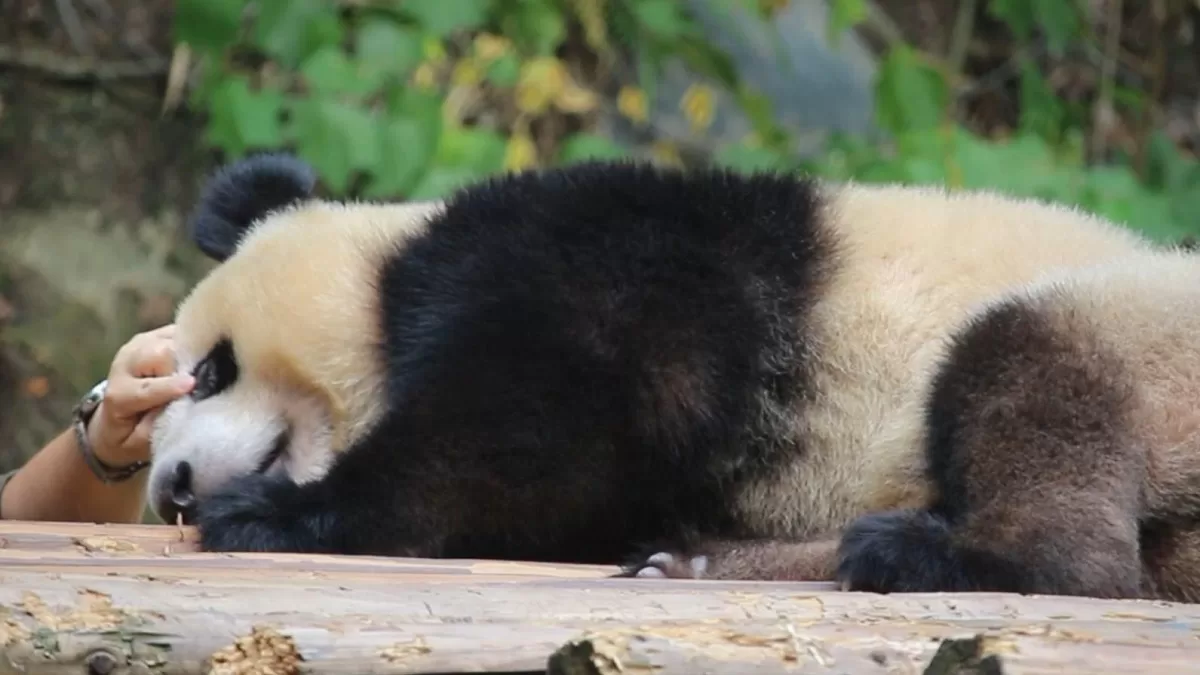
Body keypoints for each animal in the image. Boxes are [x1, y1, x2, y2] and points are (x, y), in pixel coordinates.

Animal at [147, 152, 1200, 603]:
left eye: (211, 369)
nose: (171, 486)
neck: (390, 267)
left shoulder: (606, 267)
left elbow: (525, 432)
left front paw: (269, 513)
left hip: (1149, 334)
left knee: (1029, 369)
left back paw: (944, 557)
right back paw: (702, 556)